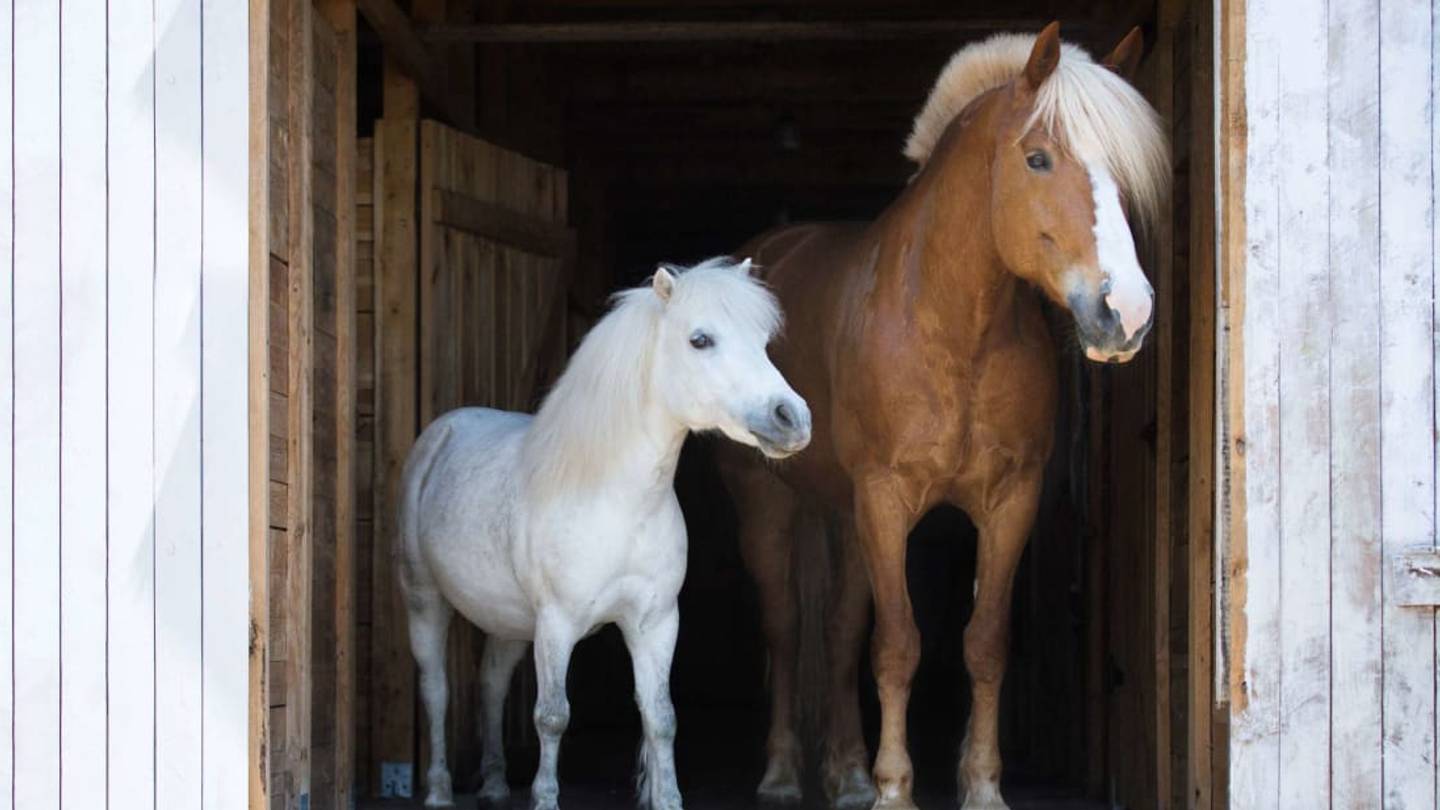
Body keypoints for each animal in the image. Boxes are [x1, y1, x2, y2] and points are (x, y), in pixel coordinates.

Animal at [397, 257, 813, 810]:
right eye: (700, 340)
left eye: (763, 341)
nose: (792, 418)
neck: (618, 500)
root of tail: (442, 431)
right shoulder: (556, 624)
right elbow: (552, 718)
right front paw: (545, 799)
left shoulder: (656, 622)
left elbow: (661, 718)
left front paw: (669, 799)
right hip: (425, 601)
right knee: (437, 690)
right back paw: (441, 791)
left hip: (509, 621)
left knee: (490, 685)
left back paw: (494, 785)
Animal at [716, 23, 1168, 810]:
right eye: (1038, 157)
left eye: (1122, 173)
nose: (1127, 313)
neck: (956, 331)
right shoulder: (886, 497)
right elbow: (898, 645)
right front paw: (896, 790)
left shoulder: (1010, 500)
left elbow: (982, 644)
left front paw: (980, 785)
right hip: (769, 505)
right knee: (786, 629)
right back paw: (782, 774)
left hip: (841, 513)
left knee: (838, 632)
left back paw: (845, 773)